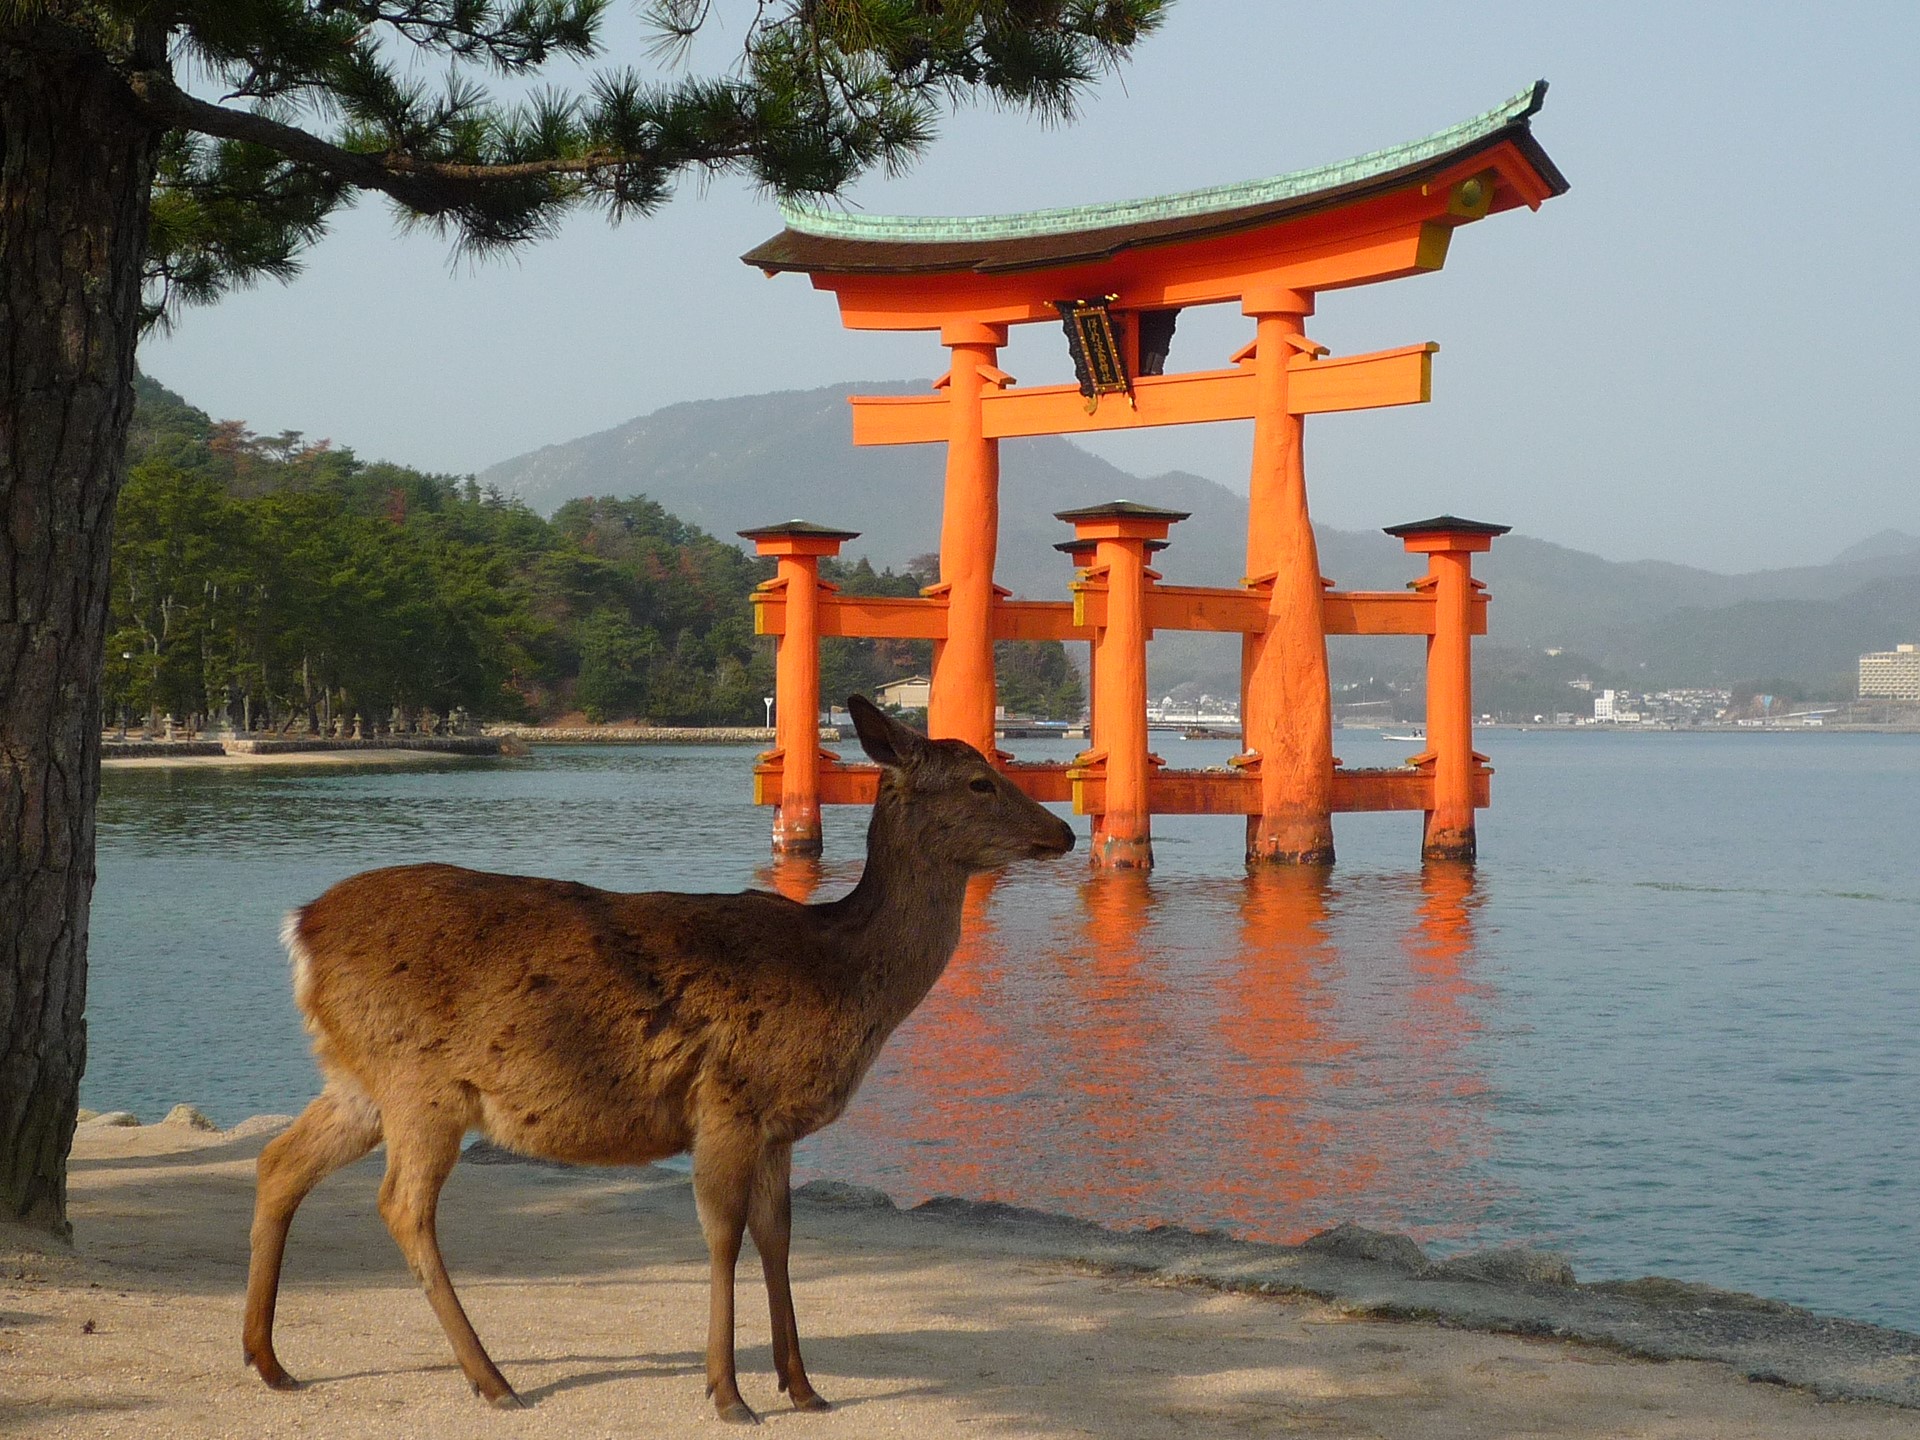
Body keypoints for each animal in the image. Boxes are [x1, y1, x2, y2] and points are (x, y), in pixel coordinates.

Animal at [241, 695, 1075, 1423]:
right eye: (980, 780)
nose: (1064, 832)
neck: (842, 974)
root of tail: (300, 930)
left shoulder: (777, 1126)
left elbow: (778, 1235)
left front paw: (803, 1387)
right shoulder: (728, 1099)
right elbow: (723, 1235)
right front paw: (730, 1395)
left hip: (359, 1080)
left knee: (280, 1160)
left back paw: (269, 1359)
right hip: (423, 1082)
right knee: (402, 1205)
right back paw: (493, 1379)